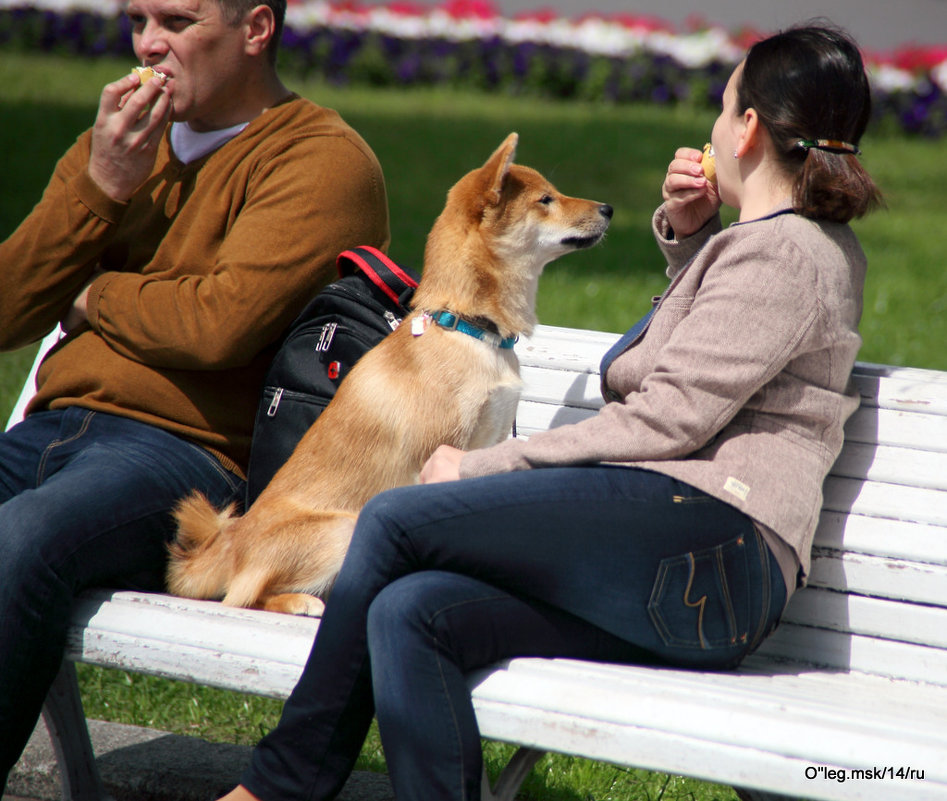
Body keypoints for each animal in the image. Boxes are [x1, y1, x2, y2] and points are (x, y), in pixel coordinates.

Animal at [167, 134, 612, 616]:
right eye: (545, 200)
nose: (608, 208)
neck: (467, 326)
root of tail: (230, 542)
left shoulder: (487, 445)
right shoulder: (439, 453)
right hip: (343, 528)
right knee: (245, 597)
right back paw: (301, 601)